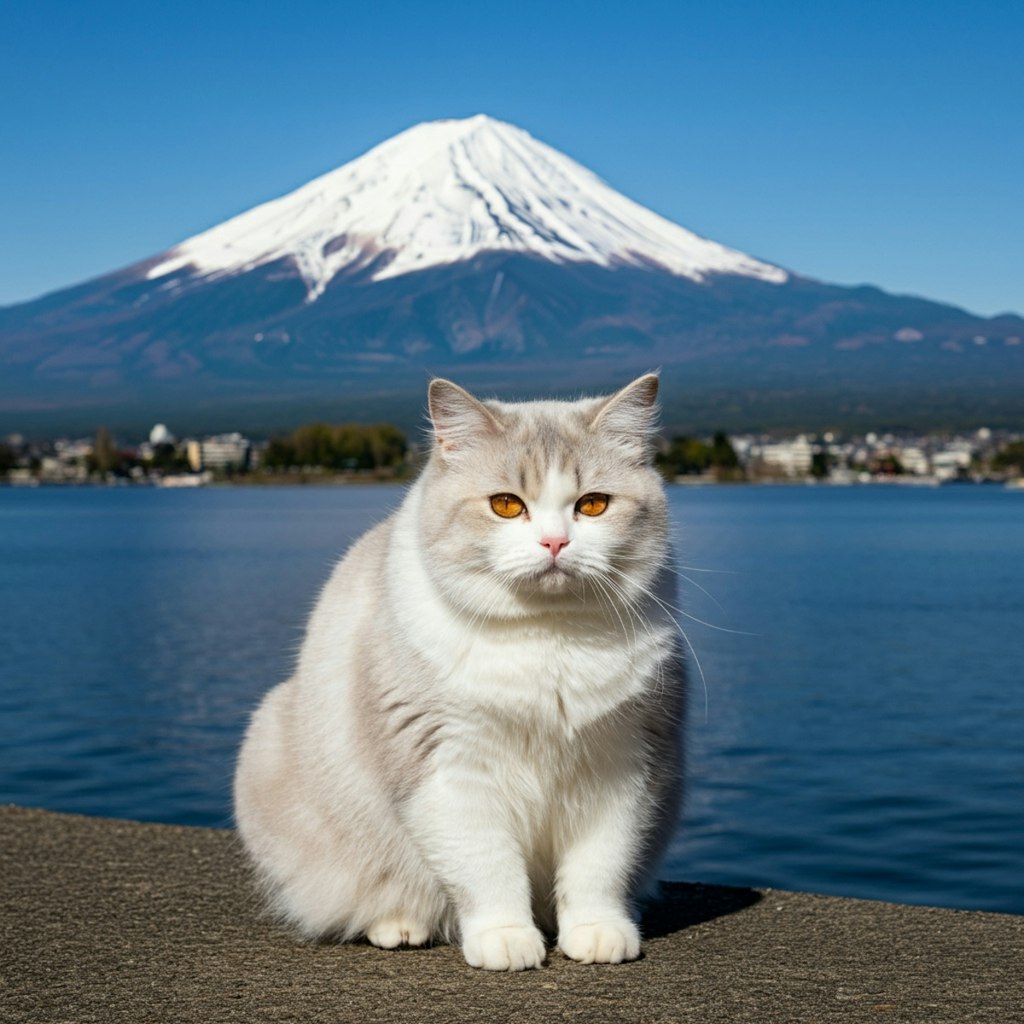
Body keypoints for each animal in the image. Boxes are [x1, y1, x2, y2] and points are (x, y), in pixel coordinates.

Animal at [234, 374, 684, 966]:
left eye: (592, 505)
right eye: (506, 505)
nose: (555, 542)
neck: (549, 637)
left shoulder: (624, 763)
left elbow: (601, 866)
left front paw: (597, 932)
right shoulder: (448, 769)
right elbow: (486, 867)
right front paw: (506, 939)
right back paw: (399, 925)